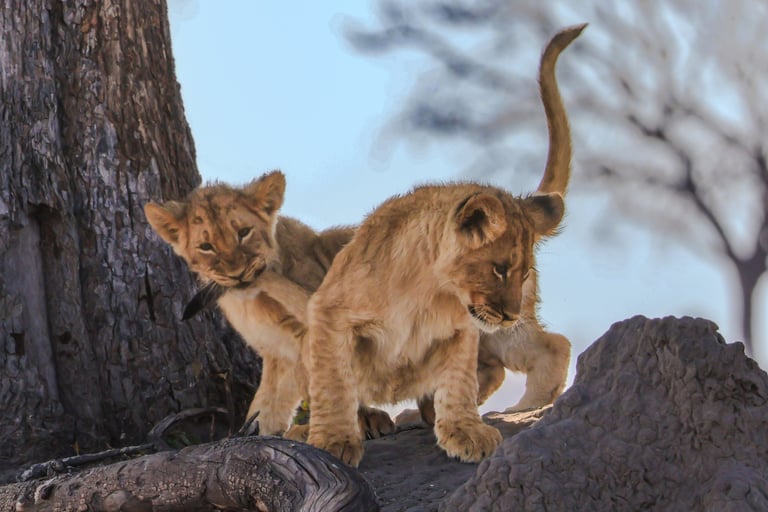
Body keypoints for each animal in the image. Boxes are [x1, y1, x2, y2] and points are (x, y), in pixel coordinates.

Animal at [143, 171, 394, 439]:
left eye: (244, 232)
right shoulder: (278, 351)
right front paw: (253, 432)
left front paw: (358, 422)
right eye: (206, 247)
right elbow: (267, 403)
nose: (237, 274)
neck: (252, 301)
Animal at [306, 24, 585, 467]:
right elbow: (332, 380)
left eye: (520, 272)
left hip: (499, 329)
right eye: (499, 269)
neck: (429, 291)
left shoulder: (464, 329)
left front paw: (465, 432)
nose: (508, 312)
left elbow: (457, 380)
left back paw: (519, 409)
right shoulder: (328, 311)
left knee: (548, 347)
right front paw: (333, 440)